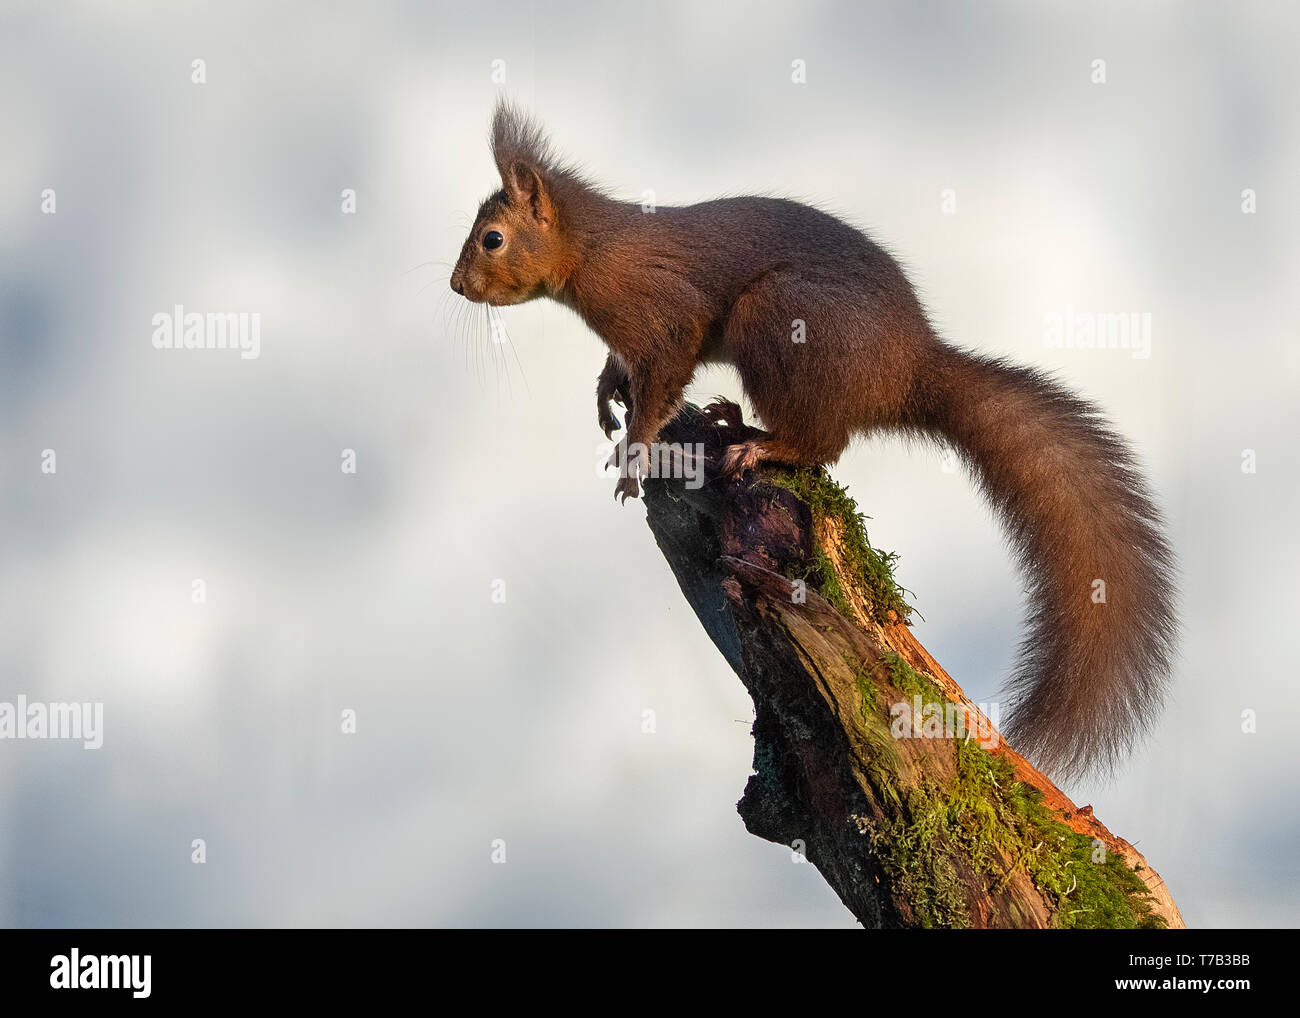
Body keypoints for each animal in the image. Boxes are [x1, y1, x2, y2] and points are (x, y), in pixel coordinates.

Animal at [454, 101, 1180, 780]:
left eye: (492, 238)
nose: (457, 285)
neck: (592, 249)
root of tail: (905, 373)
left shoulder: (667, 317)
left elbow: (661, 383)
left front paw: (633, 455)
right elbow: (625, 371)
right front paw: (607, 390)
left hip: (776, 318)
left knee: (825, 444)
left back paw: (761, 444)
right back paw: (734, 420)